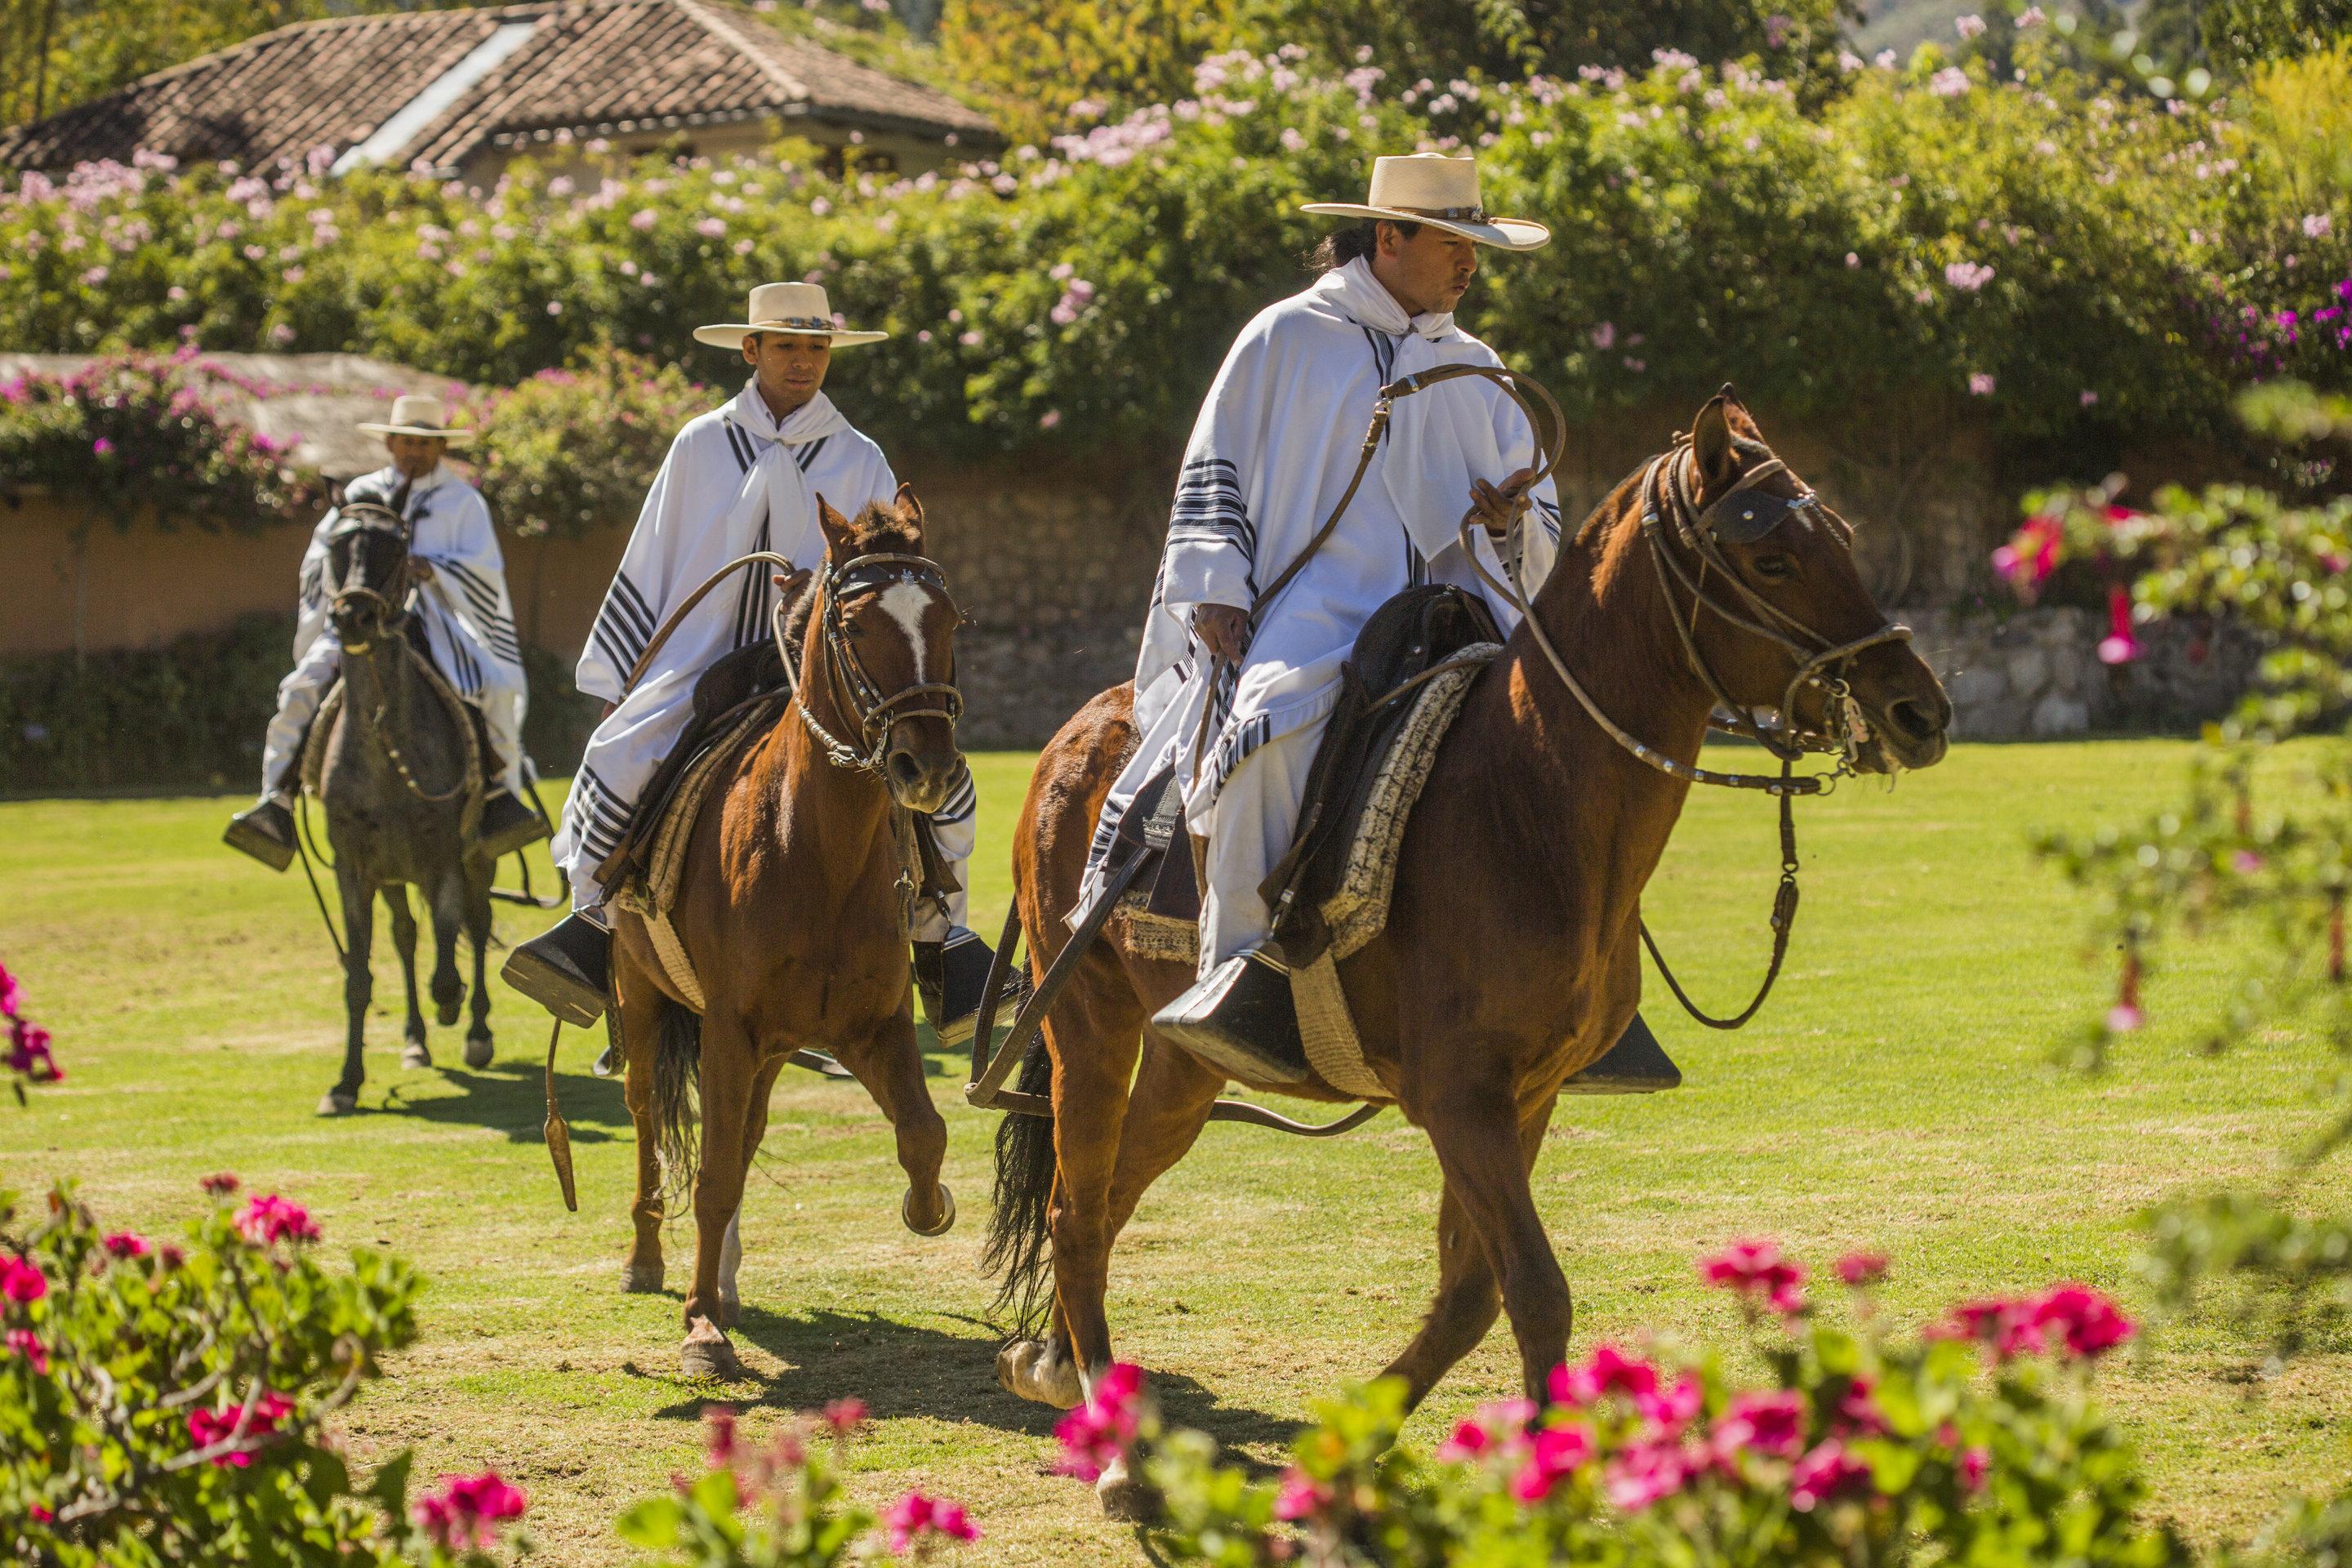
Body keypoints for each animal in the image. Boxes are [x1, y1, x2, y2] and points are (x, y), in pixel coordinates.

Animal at [314, 493, 493, 1114]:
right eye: (335, 544)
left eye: (395, 547)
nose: (353, 616)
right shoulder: (354, 868)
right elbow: (358, 976)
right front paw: (345, 1082)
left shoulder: (443, 856)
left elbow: (449, 957)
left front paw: (455, 1006)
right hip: (393, 877)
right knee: (406, 936)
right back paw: (415, 1039)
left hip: (476, 858)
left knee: (476, 926)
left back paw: (475, 1029)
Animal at [616, 486, 973, 1373]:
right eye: (854, 626)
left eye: (951, 621)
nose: (928, 769)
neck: (813, 851)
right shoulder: (727, 1028)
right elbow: (711, 1176)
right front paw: (701, 1328)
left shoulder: (872, 1025)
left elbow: (924, 1133)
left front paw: (931, 1208)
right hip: (639, 992)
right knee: (646, 1113)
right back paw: (648, 1259)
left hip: (772, 1048)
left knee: (745, 1135)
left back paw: (726, 1279)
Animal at [982, 390, 1957, 1504]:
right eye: (1773, 560)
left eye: (1840, 536)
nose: (1918, 709)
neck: (1529, 802)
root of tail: (1083, 732)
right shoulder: (1461, 1101)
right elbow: (1534, 1291)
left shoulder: (1521, 1100)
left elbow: (1470, 1294)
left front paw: (1352, 1440)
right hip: (1089, 1025)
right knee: (1076, 1210)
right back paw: (1115, 1448)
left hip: (1185, 1066)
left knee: (1102, 1200)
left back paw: (1063, 1370)